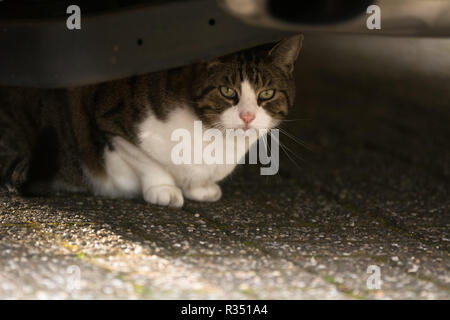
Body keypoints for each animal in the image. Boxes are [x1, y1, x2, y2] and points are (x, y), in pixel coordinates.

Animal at [0, 35, 302, 208]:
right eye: (228, 91)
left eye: (267, 94)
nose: (247, 116)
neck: (210, 134)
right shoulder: (111, 123)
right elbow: (148, 162)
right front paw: (164, 189)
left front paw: (199, 188)